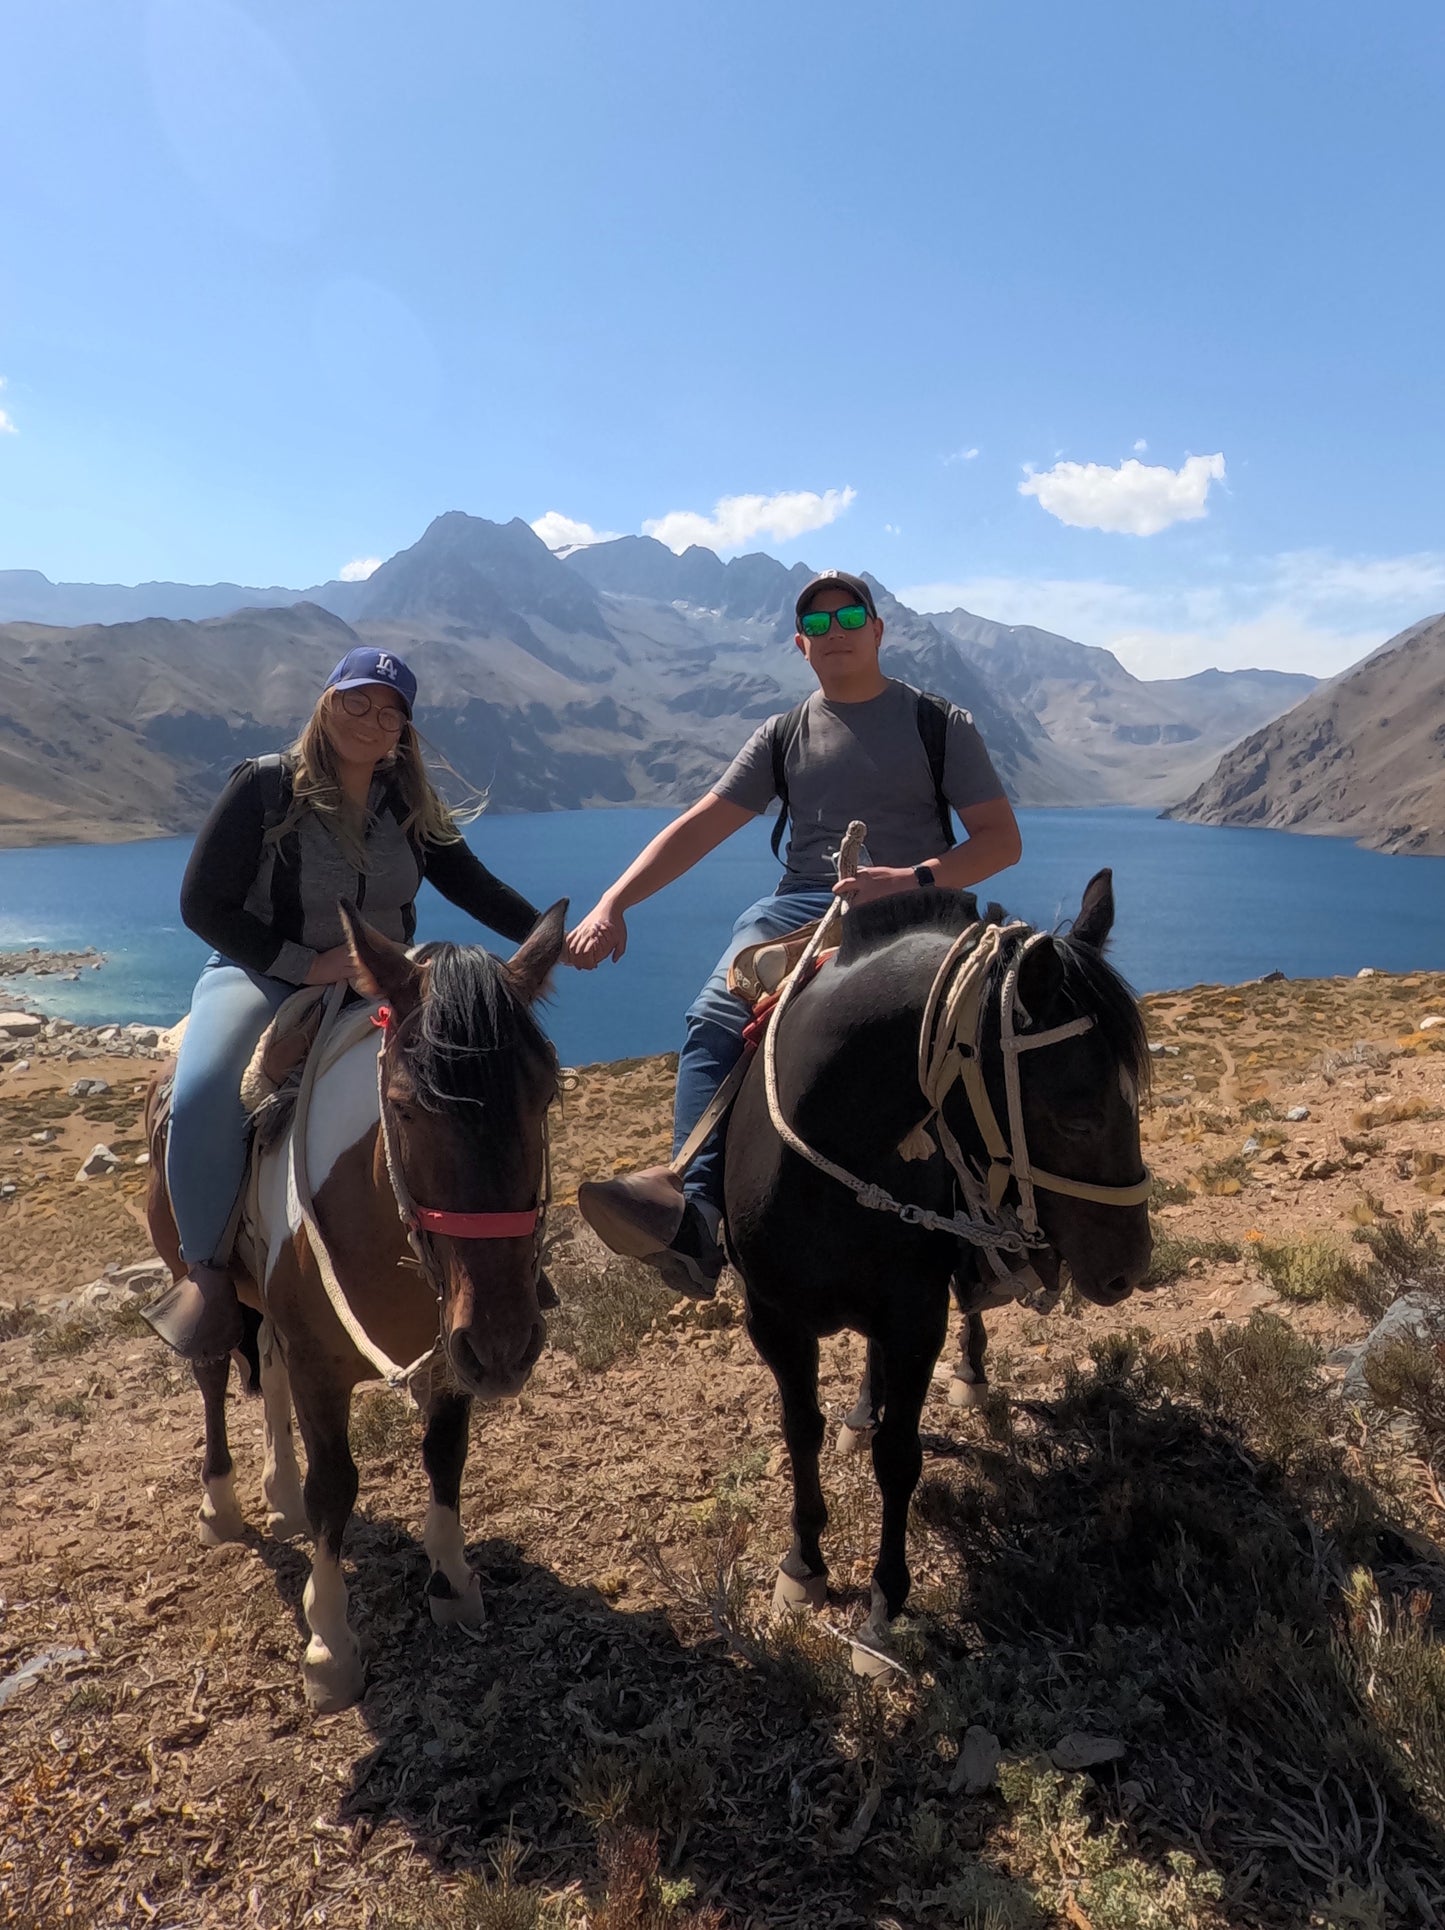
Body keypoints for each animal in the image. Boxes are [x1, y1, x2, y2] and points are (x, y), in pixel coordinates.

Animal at [144, 895, 563, 1713]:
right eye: (404, 1109)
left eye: (548, 1094)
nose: (506, 1344)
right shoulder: (322, 1366)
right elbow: (335, 1486)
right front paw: (330, 1644)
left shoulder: (449, 1352)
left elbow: (444, 1453)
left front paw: (451, 1581)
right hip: (197, 1276)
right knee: (214, 1372)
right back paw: (223, 1504)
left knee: (263, 1365)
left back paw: (278, 1497)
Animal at [721, 872, 1149, 1659]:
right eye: (1076, 1116)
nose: (1128, 1268)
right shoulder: (772, 1320)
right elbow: (801, 1430)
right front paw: (803, 1564)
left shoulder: (916, 1319)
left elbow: (900, 1454)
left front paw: (884, 1606)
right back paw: (863, 1408)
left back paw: (971, 1375)